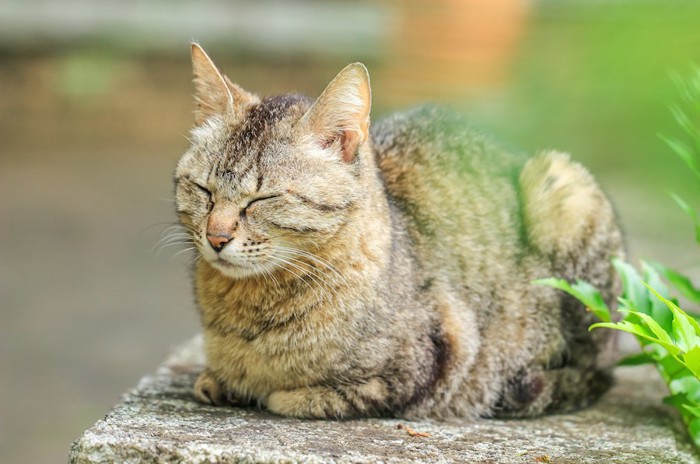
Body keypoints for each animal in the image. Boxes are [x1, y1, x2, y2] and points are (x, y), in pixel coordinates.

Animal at [175, 44, 624, 420]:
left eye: (262, 198)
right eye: (203, 190)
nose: (216, 238)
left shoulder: (438, 357)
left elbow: (314, 396)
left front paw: (277, 391)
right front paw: (223, 381)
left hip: (564, 189)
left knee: (595, 370)